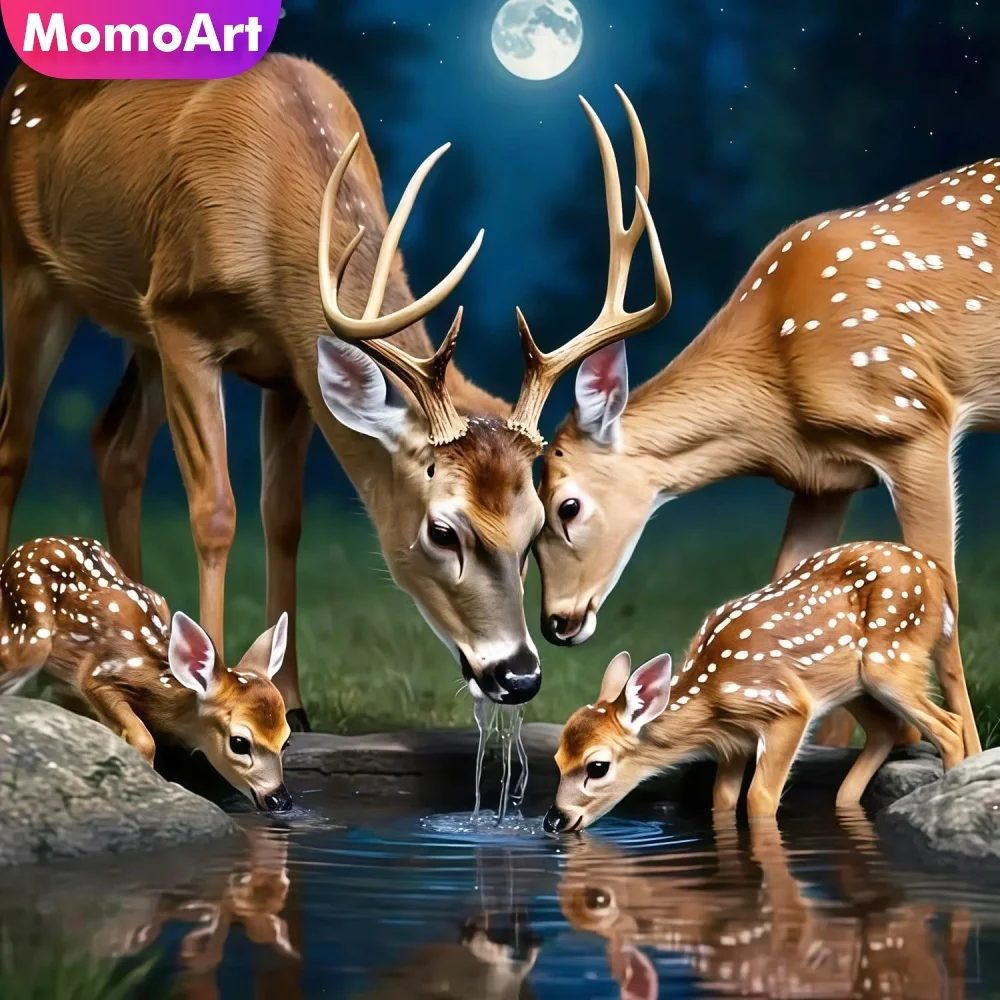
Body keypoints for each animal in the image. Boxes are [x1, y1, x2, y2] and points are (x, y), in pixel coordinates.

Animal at [0, 62, 671, 730]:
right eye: (442, 531)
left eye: (536, 527)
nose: (519, 676)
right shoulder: (179, 318)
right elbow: (215, 511)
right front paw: (209, 693)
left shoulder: (291, 367)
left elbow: (284, 518)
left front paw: (291, 701)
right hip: (36, 275)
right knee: (16, 443)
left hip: (137, 335)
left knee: (113, 444)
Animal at [0, 535, 293, 811]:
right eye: (239, 743)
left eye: (286, 741)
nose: (281, 800)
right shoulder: (96, 677)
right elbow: (144, 740)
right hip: (30, 640)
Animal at [534, 158, 1000, 759]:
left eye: (567, 506)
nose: (556, 623)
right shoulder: (825, 478)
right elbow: (791, 584)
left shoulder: (914, 418)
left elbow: (945, 592)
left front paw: (968, 754)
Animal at [543, 540, 962, 835]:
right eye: (557, 759)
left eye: (597, 766)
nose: (554, 821)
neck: (711, 697)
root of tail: (937, 576)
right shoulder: (734, 742)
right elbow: (722, 800)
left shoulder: (787, 708)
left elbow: (760, 797)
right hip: (853, 685)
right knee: (887, 729)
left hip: (889, 661)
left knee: (949, 727)